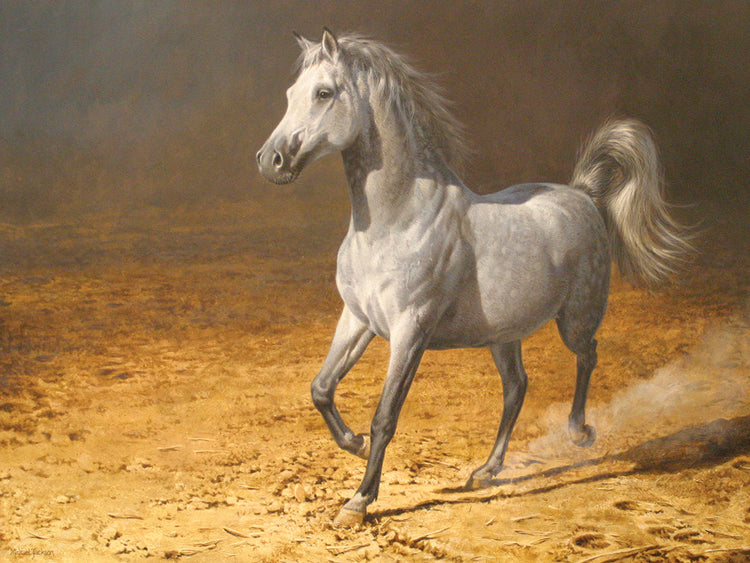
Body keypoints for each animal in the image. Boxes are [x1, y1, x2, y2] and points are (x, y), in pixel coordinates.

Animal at [256, 28, 691, 527]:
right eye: (290, 93)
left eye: (324, 93)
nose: (269, 161)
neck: (396, 219)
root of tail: (583, 194)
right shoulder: (358, 319)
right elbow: (321, 388)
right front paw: (354, 445)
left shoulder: (410, 332)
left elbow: (385, 416)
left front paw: (359, 501)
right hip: (504, 336)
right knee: (517, 387)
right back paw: (485, 471)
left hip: (575, 319)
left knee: (587, 356)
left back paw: (579, 432)